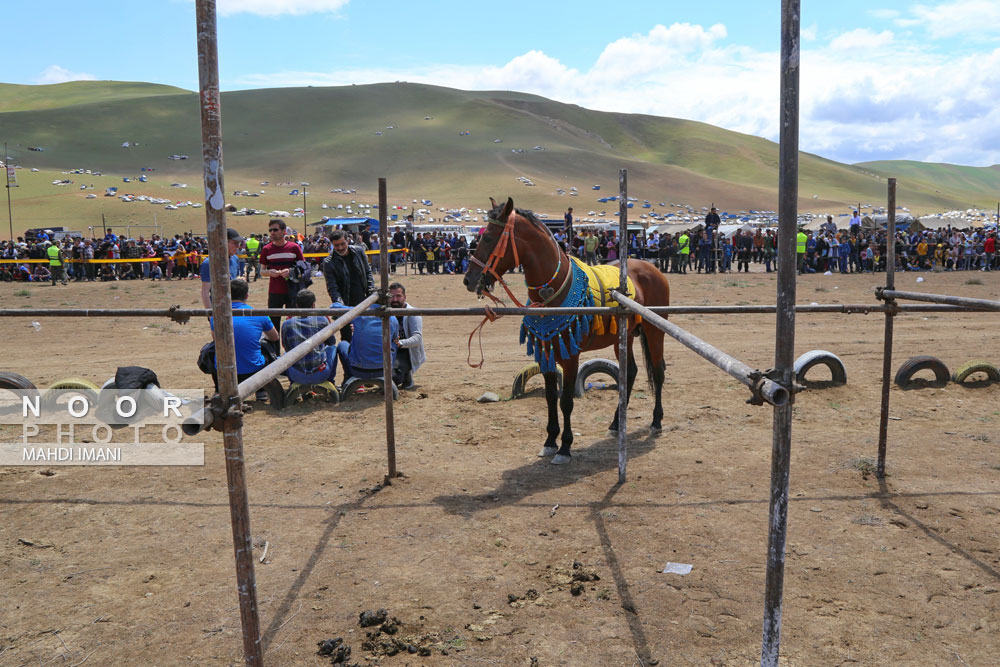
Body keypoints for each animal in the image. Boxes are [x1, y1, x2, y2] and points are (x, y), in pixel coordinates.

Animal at [462, 196, 672, 462]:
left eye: (489, 237)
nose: (469, 280)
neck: (554, 293)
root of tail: (652, 268)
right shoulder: (546, 352)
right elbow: (551, 398)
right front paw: (550, 440)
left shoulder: (571, 356)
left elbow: (566, 402)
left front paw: (565, 447)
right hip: (622, 337)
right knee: (631, 372)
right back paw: (616, 423)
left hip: (655, 330)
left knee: (658, 371)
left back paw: (656, 421)